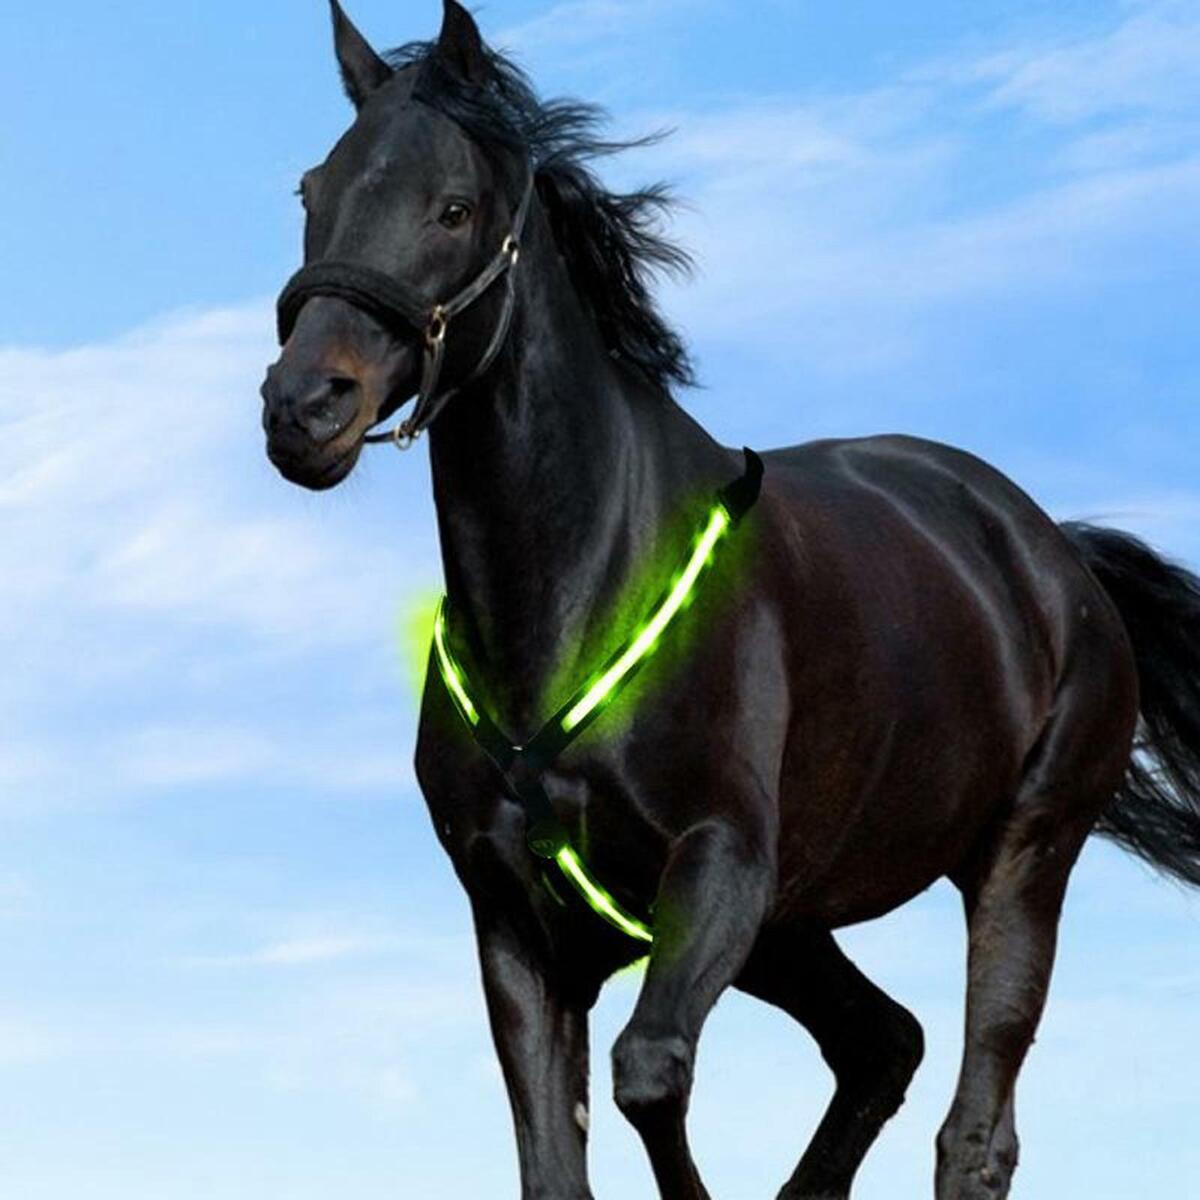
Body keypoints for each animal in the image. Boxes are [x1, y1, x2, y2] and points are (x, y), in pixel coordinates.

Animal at [260, 4, 1200, 1197]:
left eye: (453, 206)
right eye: (313, 190)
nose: (304, 407)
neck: (574, 601)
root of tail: (1051, 553)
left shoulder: (718, 866)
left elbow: (648, 1072)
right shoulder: (516, 919)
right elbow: (554, 1159)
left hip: (1021, 855)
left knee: (974, 1128)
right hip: (796, 927)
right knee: (882, 1042)